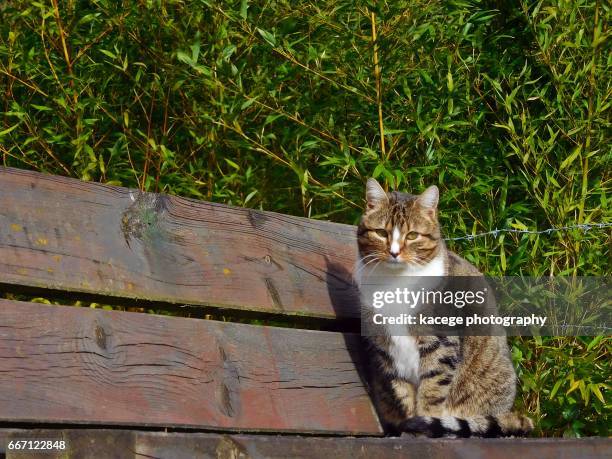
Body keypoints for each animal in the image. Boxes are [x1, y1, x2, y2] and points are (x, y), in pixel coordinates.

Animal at [356, 177, 532, 438]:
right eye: (381, 233)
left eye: (412, 235)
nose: (394, 252)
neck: (395, 281)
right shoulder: (386, 348)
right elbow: (402, 392)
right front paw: (408, 427)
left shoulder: (440, 341)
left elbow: (432, 389)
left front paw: (422, 427)